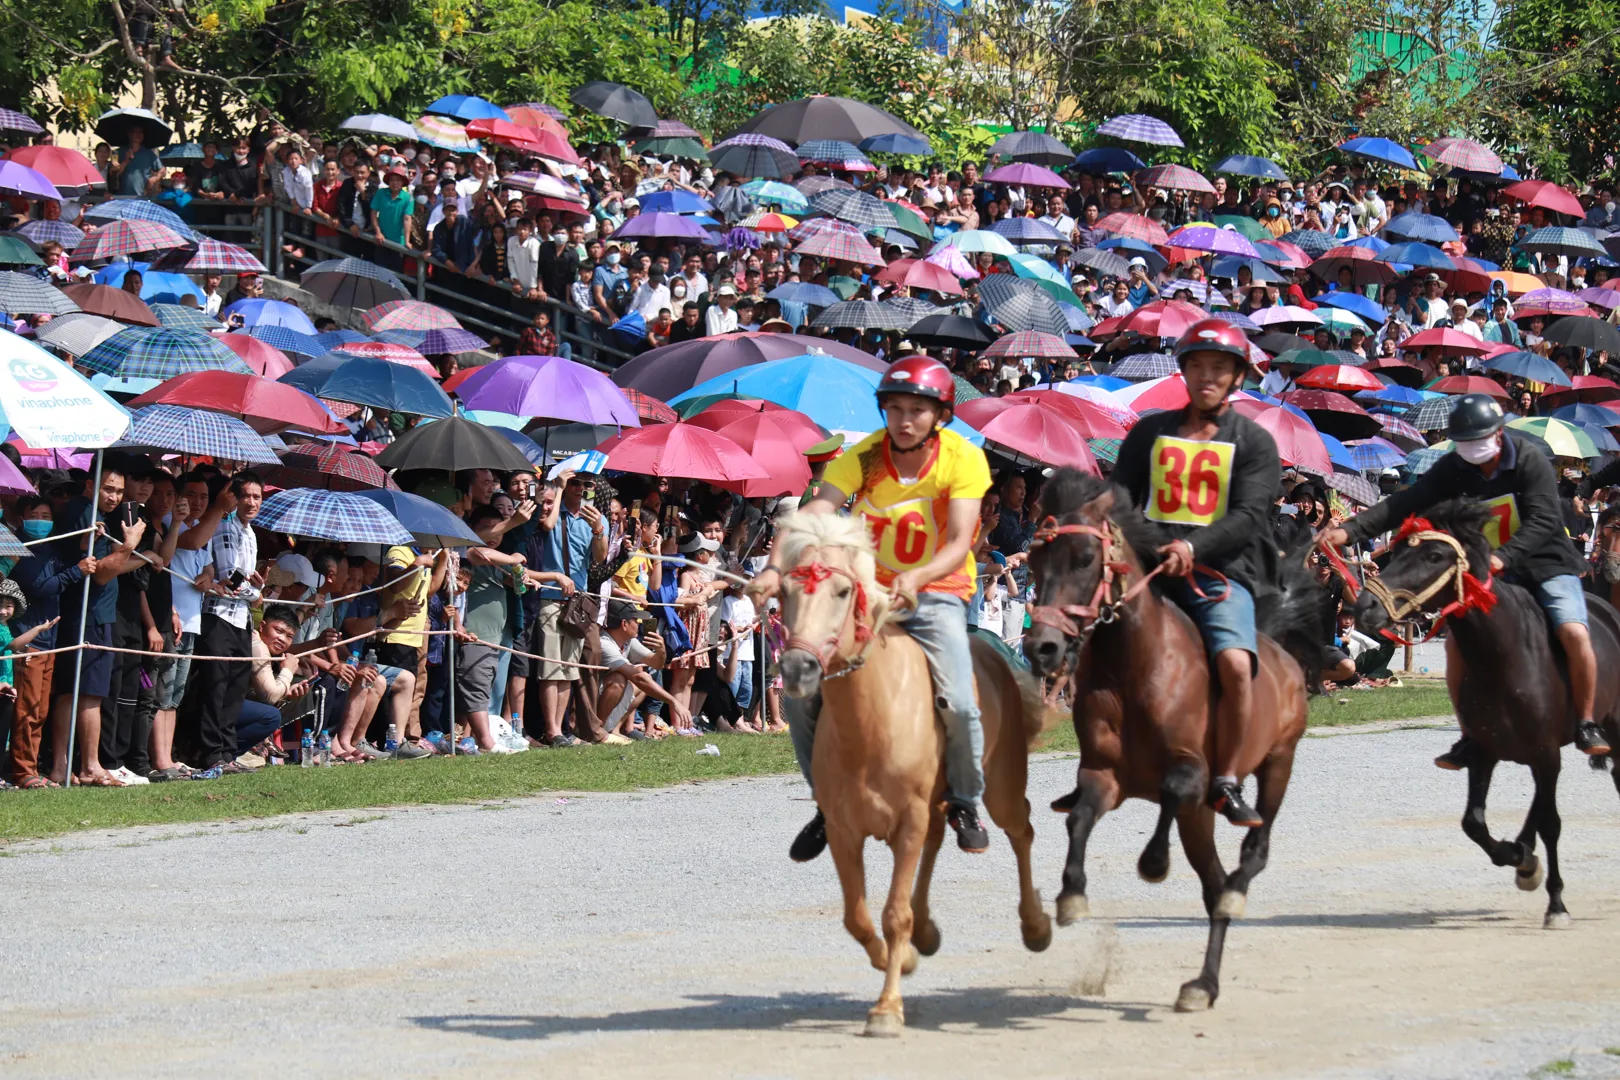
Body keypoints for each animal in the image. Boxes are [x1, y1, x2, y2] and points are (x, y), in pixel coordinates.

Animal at [774, 511, 1056, 1036]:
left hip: (1001, 787)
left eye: (842, 591)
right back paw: (927, 932)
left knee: (1020, 831)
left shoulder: (907, 819)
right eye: (783, 589)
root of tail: (994, 651)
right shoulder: (845, 830)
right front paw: (899, 960)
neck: (871, 718)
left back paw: (1035, 925)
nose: (798, 668)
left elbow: (893, 914)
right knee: (939, 840)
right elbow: (858, 916)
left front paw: (887, 1009)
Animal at [1023, 472, 1315, 1016]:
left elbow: (1175, 786)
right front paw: (1072, 896)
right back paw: (1204, 984)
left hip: (1277, 764)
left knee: (1252, 852)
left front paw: (1153, 864)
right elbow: (1080, 817)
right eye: (1033, 559)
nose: (1042, 647)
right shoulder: (1104, 776)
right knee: (1213, 884)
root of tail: (1280, 653)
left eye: (1085, 558)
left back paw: (1233, 895)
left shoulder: (1193, 772)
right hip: (1202, 819)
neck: (1133, 669)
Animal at [1347, 498, 1620, 932]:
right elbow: (1474, 823)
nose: (1365, 607)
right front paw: (1520, 859)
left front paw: (1556, 904)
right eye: (1398, 549)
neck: (1504, 656)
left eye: (1434, 556)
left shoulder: (1546, 754)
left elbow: (1552, 823)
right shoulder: (1486, 753)